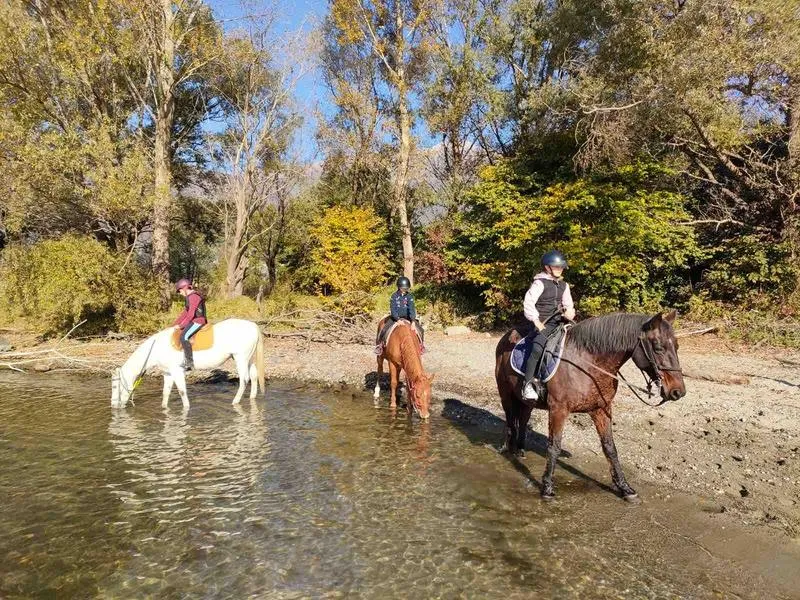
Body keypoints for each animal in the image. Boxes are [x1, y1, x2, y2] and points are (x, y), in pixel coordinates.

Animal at [111, 318, 265, 409]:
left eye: (115, 386)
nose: (113, 406)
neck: (158, 347)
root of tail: (253, 325)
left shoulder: (177, 371)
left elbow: (182, 391)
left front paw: (186, 409)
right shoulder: (168, 373)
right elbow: (166, 393)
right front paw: (164, 409)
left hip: (241, 358)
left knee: (244, 380)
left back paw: (235, 402)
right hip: (248, 359)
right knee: (254, 376)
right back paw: (252, 398)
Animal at [495, 311, 686, 501]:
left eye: (677, 346)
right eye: (658, 348)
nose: (678, 392)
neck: (588, 363)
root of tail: (507, 335)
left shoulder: (601, 409)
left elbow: (610, 448)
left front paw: (625, 487)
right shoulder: (558, 410)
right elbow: (554, 447)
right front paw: (547, 487)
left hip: (525, 401)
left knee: (523, 420)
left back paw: (520, 450)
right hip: (505, 393)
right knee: (510, 421)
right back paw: (505, 448)